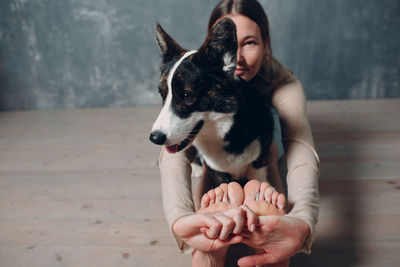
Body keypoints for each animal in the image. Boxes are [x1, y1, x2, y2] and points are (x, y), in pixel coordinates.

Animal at [148, 18, 276, 186]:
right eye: (162, 94)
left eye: (187, 96)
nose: (155, 138)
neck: (224, 132)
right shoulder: (217, 171)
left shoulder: (262, 153)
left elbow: (257, 173)